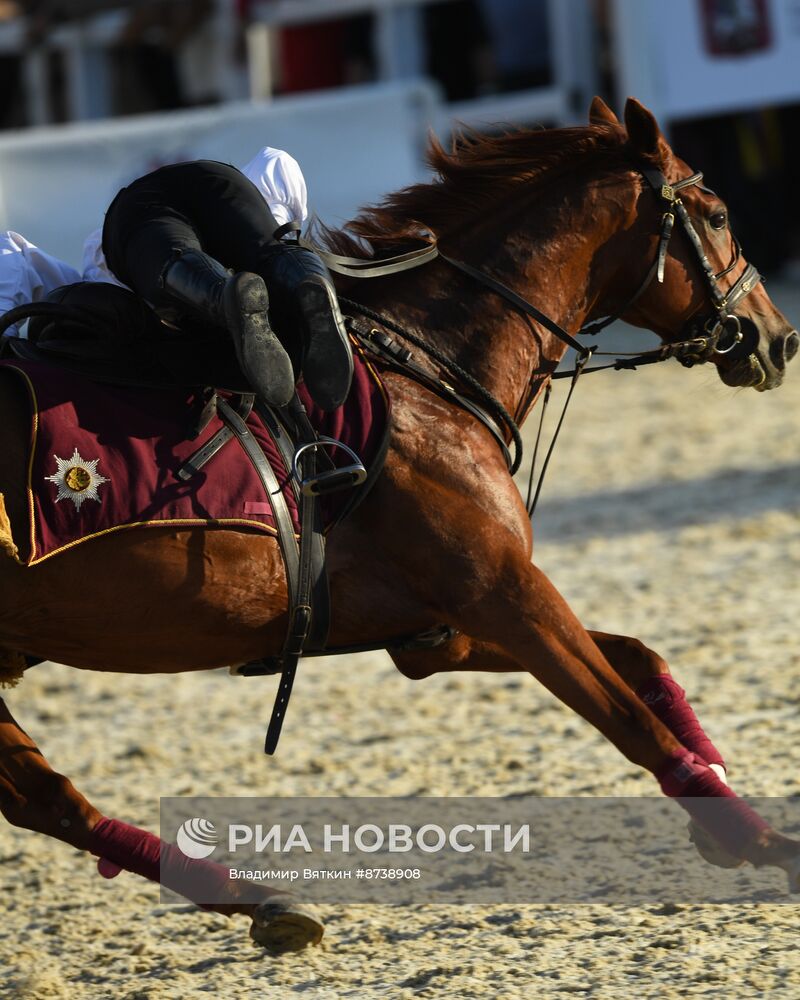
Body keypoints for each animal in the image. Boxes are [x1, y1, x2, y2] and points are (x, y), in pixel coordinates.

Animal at [0, 99, 796, 952]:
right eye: (717, 215)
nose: (777, 336)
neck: (430, 369)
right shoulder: (504, 595)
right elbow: (628, 718)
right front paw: (767, 844)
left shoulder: (436, 633)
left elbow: (641, 662)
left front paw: (720, 799)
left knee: (42, 796)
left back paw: (261, 901)